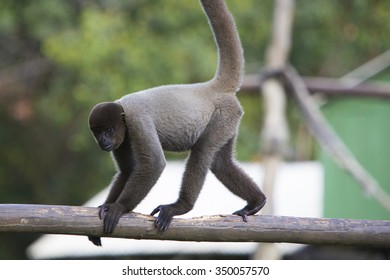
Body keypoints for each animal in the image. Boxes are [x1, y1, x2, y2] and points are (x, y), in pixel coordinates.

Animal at [87, 0, 266, 246]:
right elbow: (127, 170)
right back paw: (256, 201)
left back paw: (180, 207)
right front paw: (106, 205)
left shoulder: (137, 121)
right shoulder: (123, 139)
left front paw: (118, 207)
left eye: (108, 129)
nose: (103, 140)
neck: (123, 110)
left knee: (202, 152)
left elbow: (153, 163)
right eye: (97, 132)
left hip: (223, 116)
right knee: (221, 163)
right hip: (230, 120)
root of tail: (211, 87)